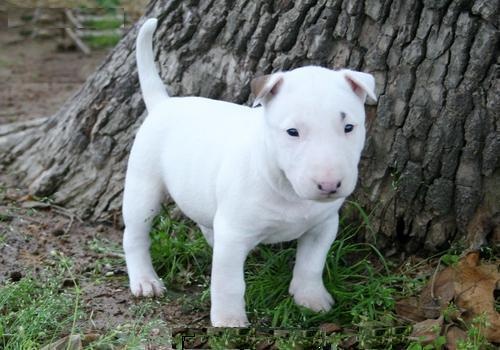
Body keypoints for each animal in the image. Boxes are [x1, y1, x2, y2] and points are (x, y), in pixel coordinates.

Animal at [124, 17, 376, 328]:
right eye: (292, 132)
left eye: (349, 127)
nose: (329, 184)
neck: (285, 186)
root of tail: (163, 103)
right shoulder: (233, 233)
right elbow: (229, 282)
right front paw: (229, 322)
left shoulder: (324, 225)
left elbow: (311, 264)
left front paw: (312, 299)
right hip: (143, 186)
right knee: (135, 235)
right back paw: (145, 280)